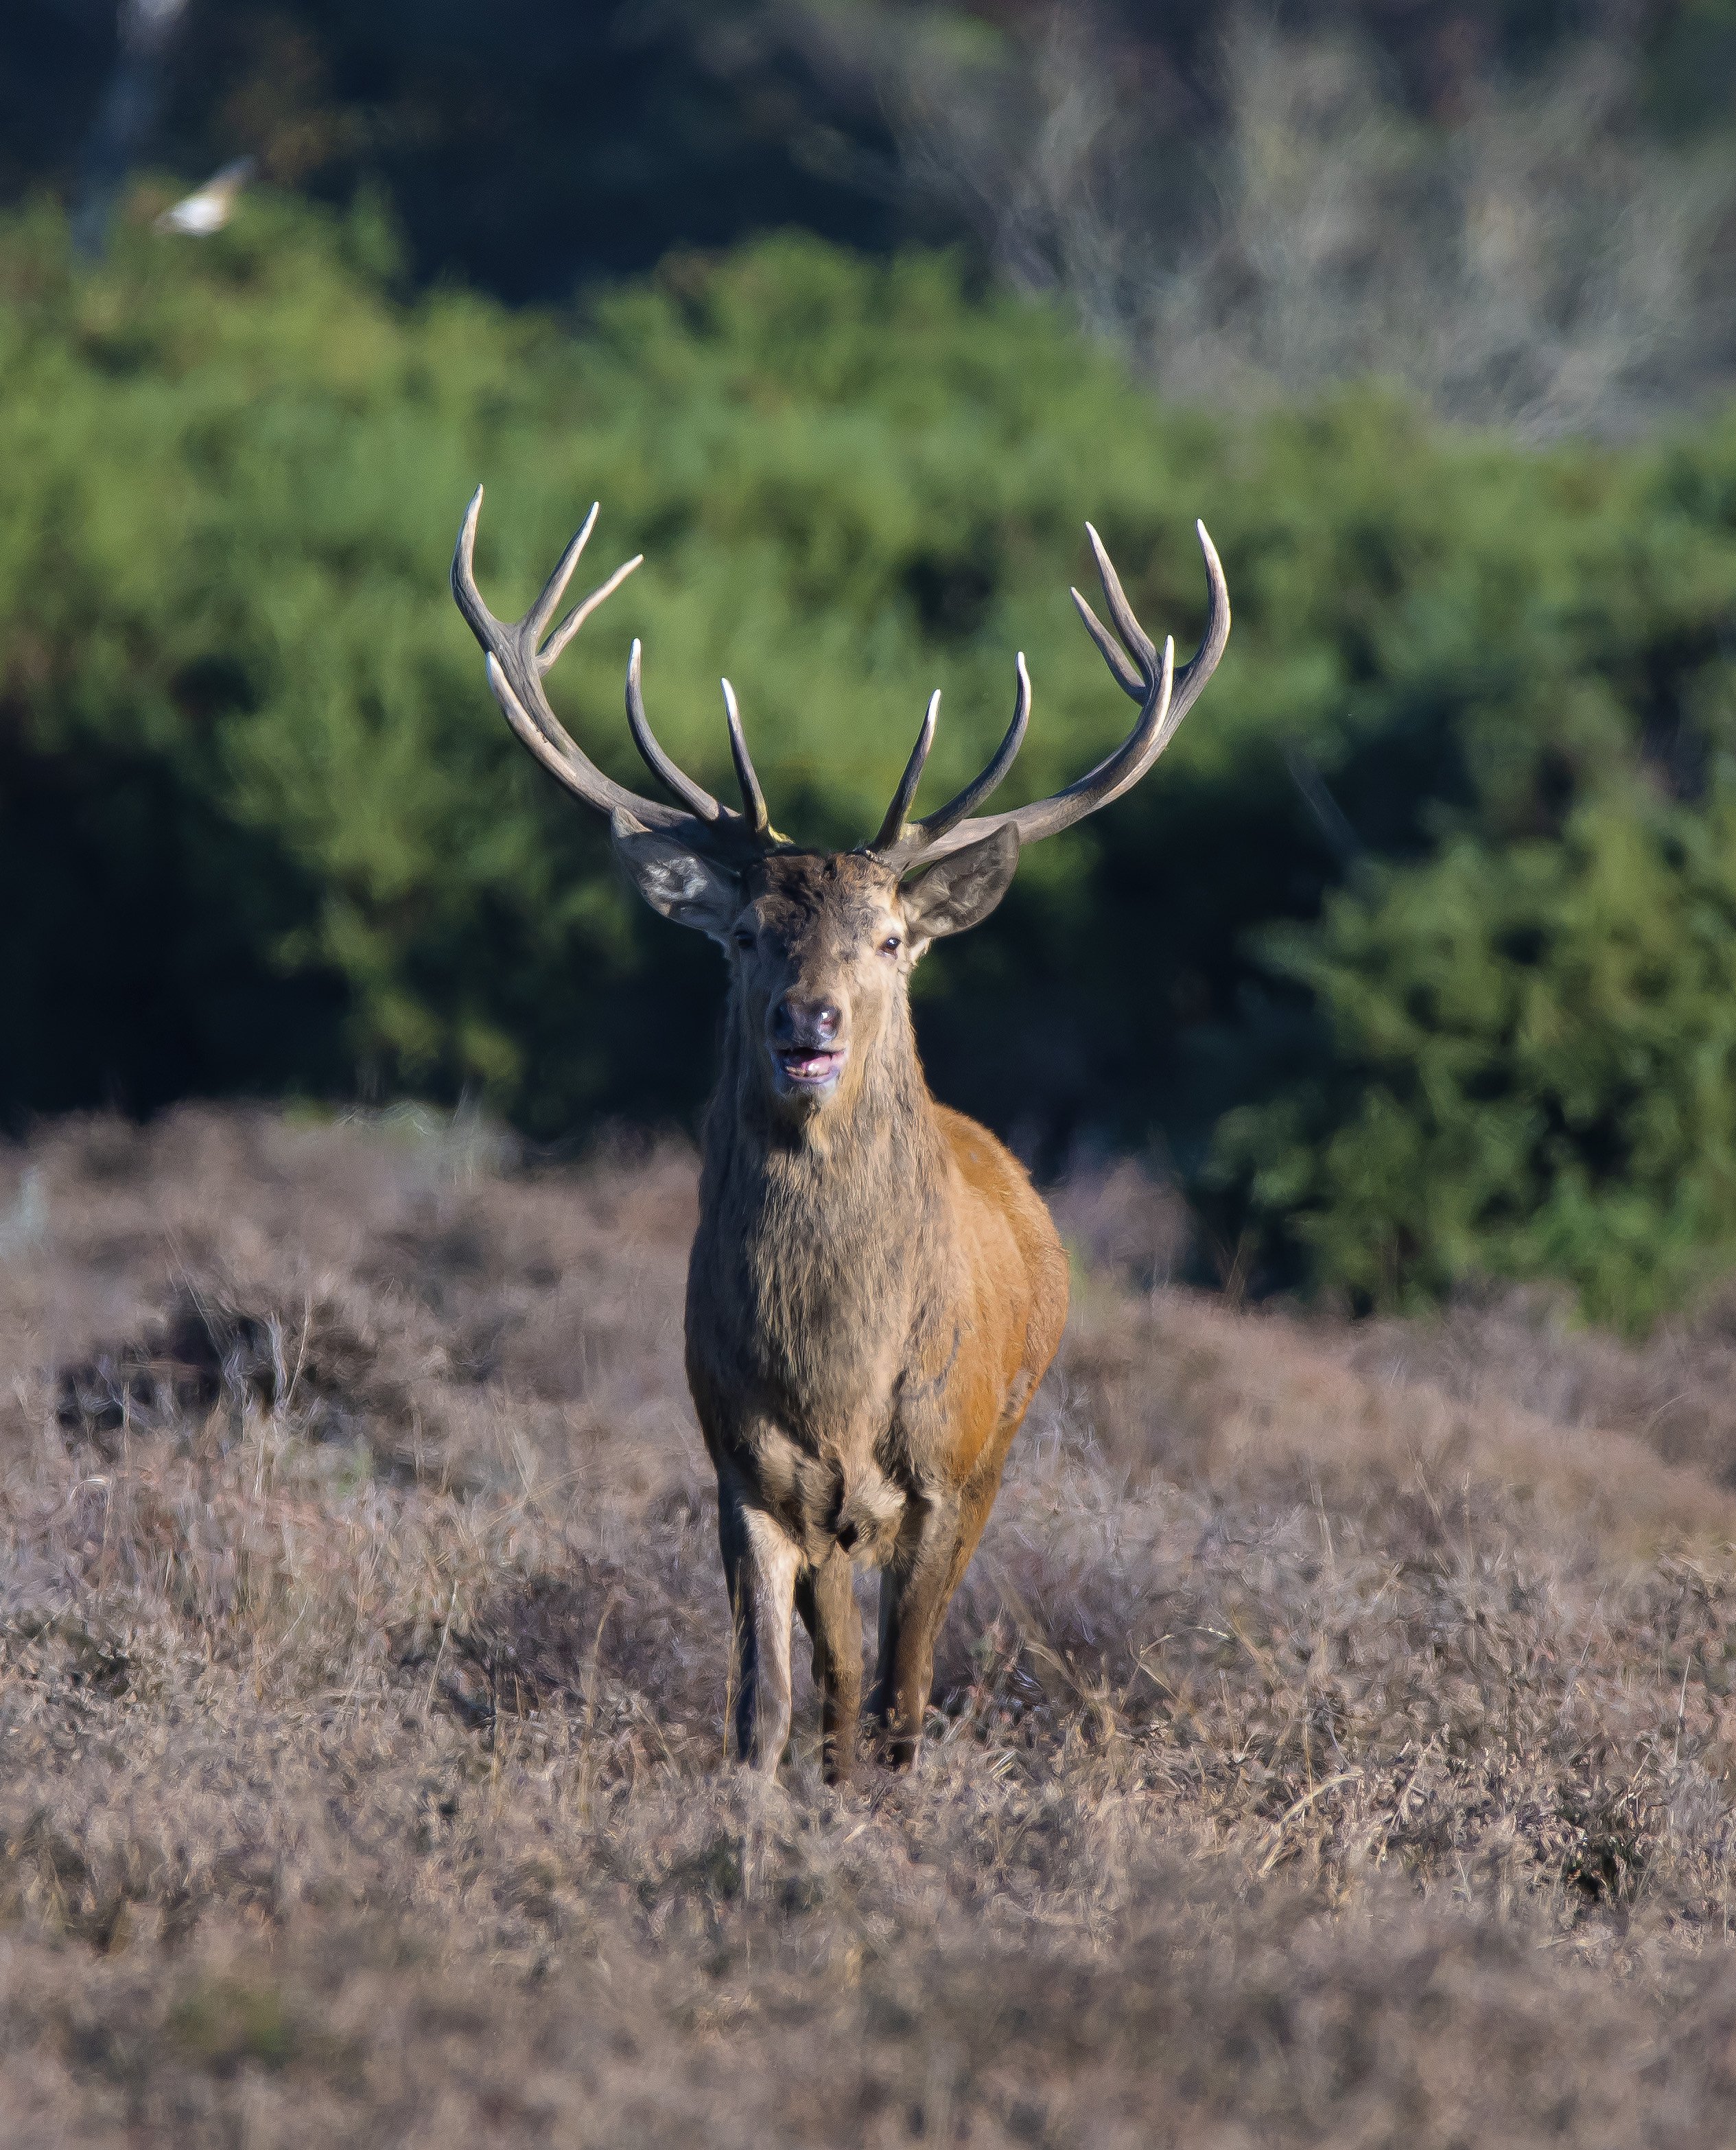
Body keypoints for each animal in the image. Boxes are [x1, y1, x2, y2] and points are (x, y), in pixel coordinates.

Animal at [453, 492, 1229, 1780]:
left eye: (889, 937)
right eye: (747, 933)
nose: (806, 1023)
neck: (839, 1388)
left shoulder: (946, 1481)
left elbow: (908, 1703)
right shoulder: (743, 1475)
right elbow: (766, 1709)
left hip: (1001, 1444)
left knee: (884, 1681)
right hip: (828, 1520)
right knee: (836, 1681)